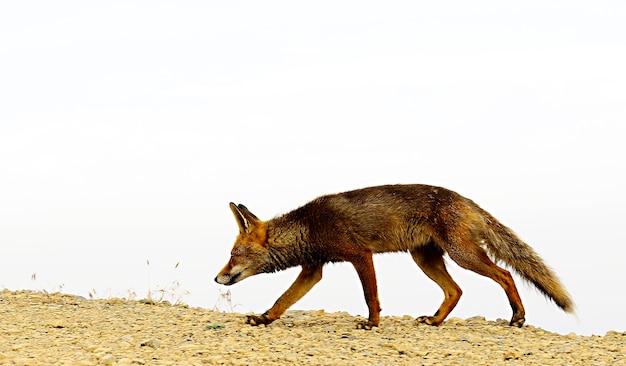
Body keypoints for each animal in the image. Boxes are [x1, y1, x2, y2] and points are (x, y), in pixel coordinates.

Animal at [213, 184, 572, 330]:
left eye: (232, 254)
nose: (216, 278)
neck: (309, 228)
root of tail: (465, 198)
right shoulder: (313, 269)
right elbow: (282, 301)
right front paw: (263, 319)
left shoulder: (360, 255)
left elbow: (370, 296)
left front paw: (372, 324)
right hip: (425, 259)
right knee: (455, 291)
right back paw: (436, 321)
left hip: (463, 256)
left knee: (506, 274)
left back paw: (518, 317)